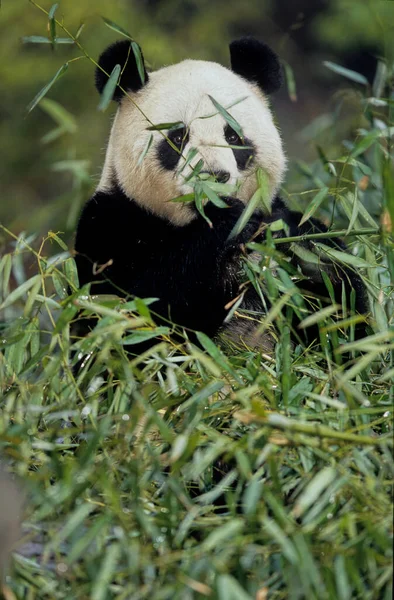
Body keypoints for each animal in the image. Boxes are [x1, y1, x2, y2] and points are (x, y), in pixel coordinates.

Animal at [74, 37, 366, 352]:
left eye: (233, 136)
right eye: (178, 138)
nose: (214, 177)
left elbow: (346, 325)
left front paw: (311, 256)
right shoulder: (109, 226)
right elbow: (133, 320)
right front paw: (228, 223)